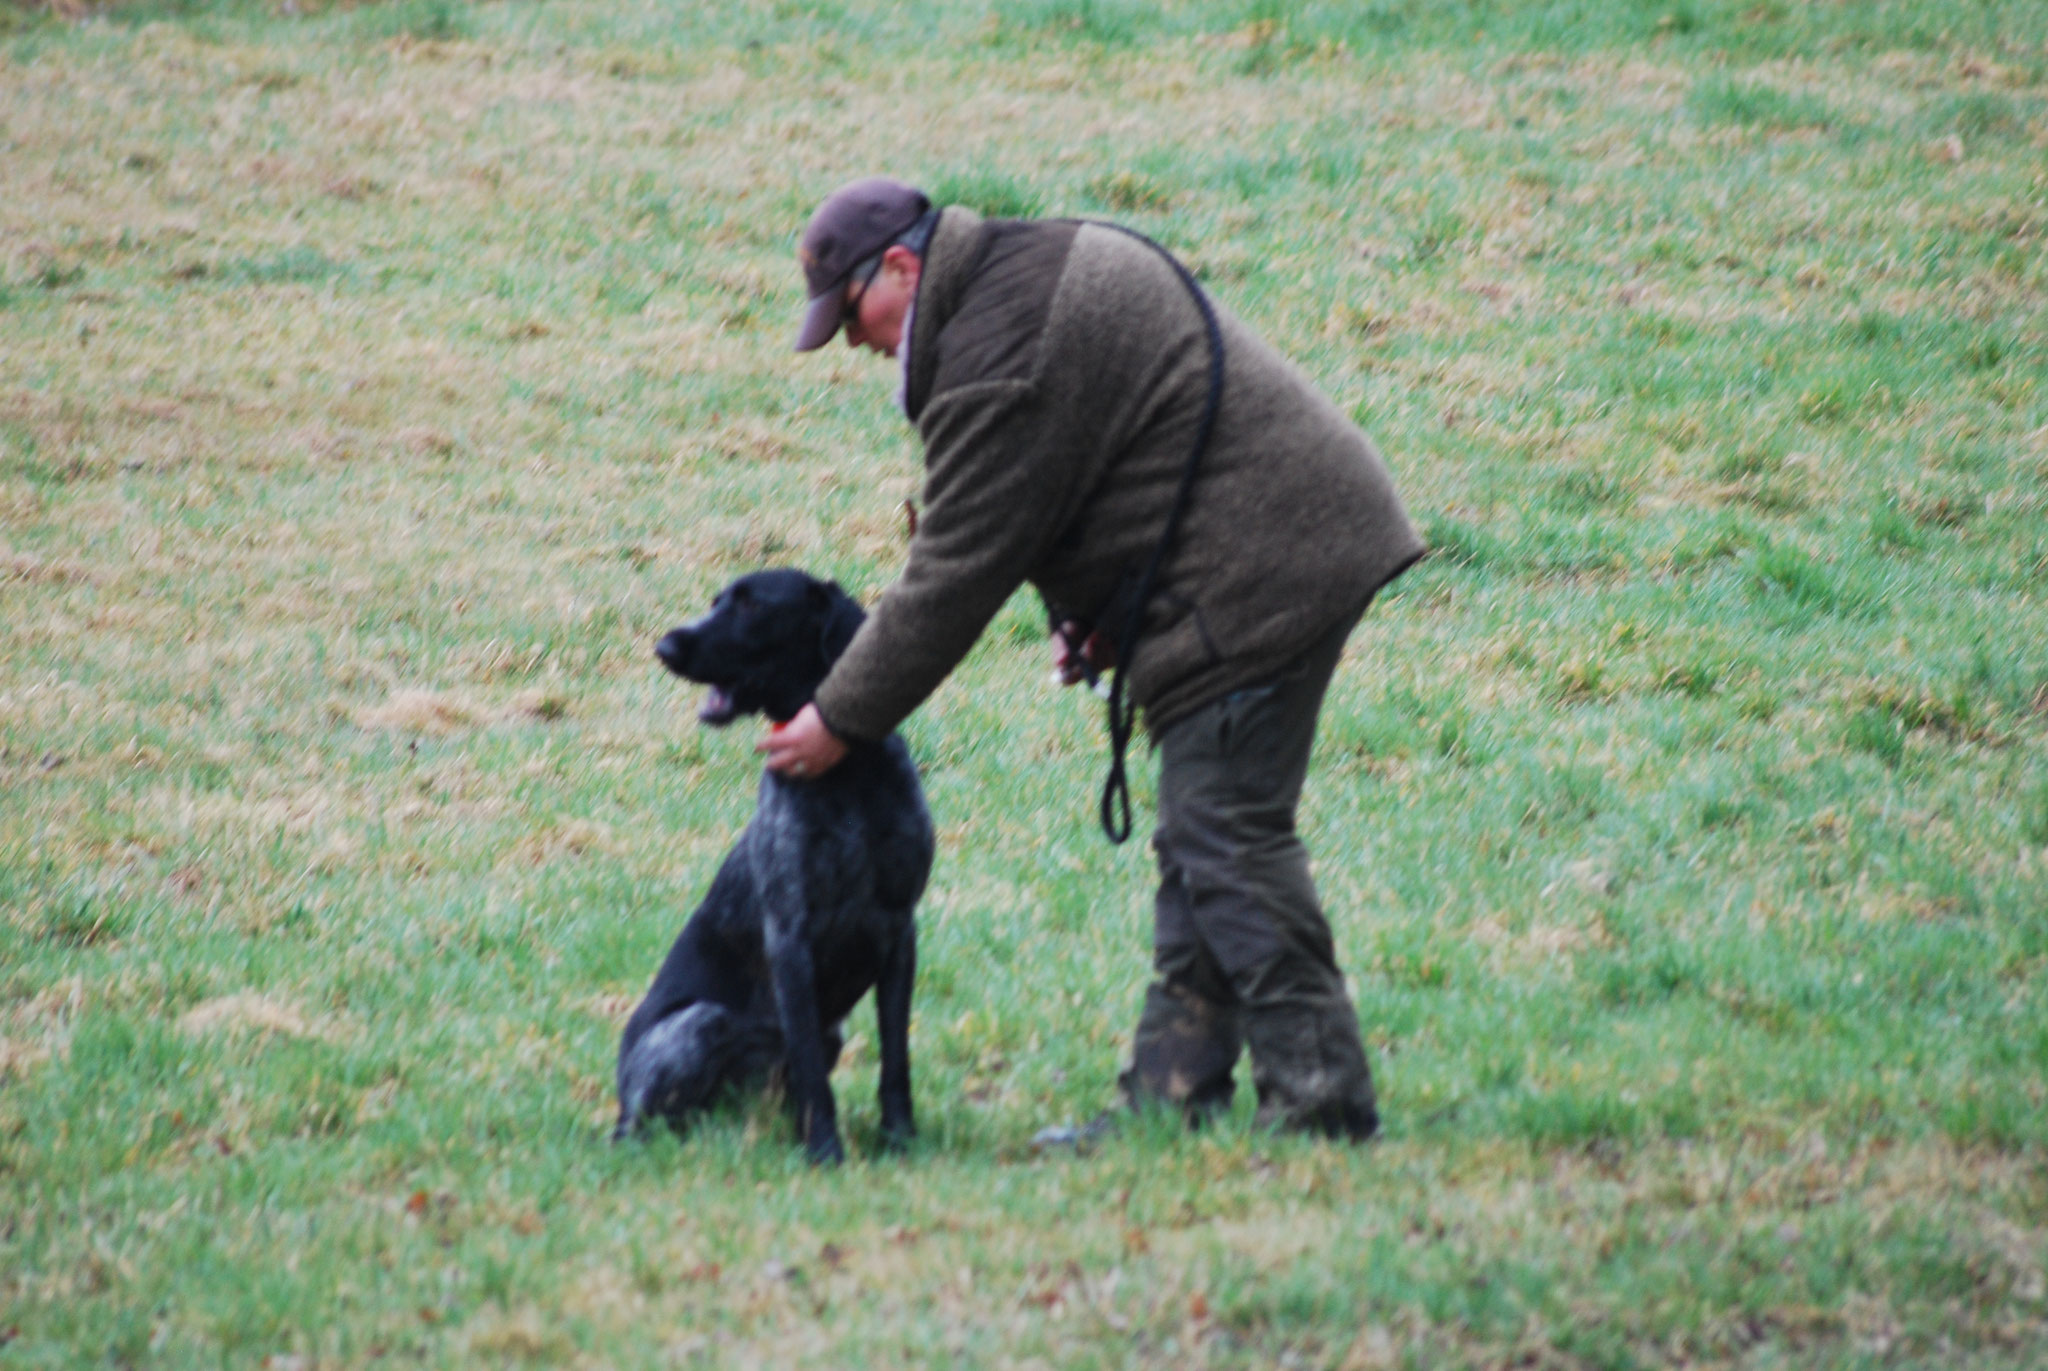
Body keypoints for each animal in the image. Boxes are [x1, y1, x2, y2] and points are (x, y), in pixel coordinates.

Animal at [606, 565, 929, 1164]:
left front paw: (900, 1137)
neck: (847, 777)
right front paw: (825, 1152)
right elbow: (810, 1070)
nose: (665, 647)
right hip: (698, 1024)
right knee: (640, 1126)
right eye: (717, 601)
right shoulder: (791, 940)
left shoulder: (900, 931)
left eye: (752, 605)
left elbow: (895, 1056)